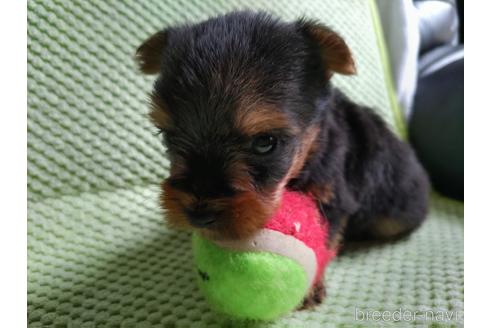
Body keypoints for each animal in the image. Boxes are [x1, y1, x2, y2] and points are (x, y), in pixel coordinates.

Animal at [135, 11, 430, 306]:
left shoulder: (332, 199)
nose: (198, 215)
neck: (308, 155)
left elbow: (324, 242)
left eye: (265, 143)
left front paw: (310, 288)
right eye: (168, 136)